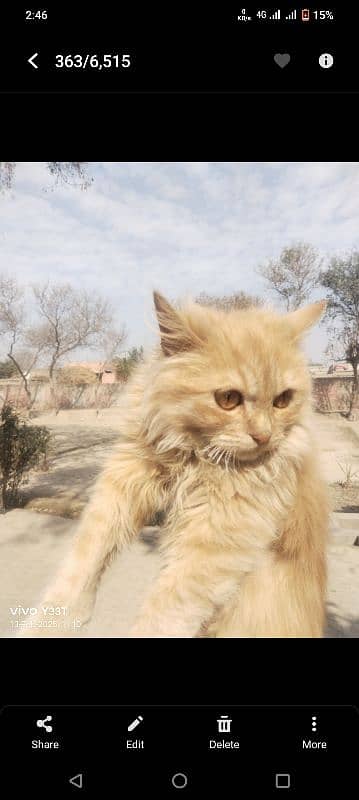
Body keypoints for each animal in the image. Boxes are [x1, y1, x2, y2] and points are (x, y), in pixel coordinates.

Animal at [19, 292, 330, 636]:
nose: (263, 436)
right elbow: (84, 557)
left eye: (283, 400)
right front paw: (49, 624)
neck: (192, 455)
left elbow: (163, 614)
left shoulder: (216, 540)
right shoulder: (126, 478)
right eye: (228, 399)